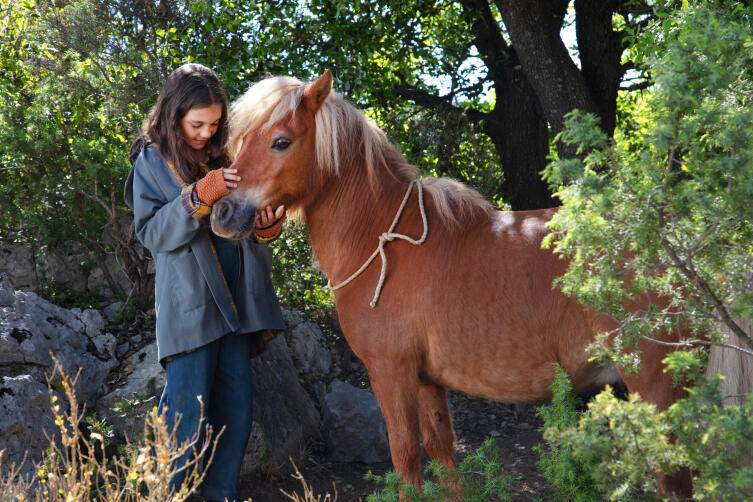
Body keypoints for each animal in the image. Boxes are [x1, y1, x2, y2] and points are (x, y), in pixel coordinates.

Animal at [212, 70, 728, 498]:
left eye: (280, 141)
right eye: (244, 138)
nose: (223, 212)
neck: (384, 242)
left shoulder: (391, 373)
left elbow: (406, 457)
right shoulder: (426, 381)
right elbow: (442, 451)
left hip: (657, 390)